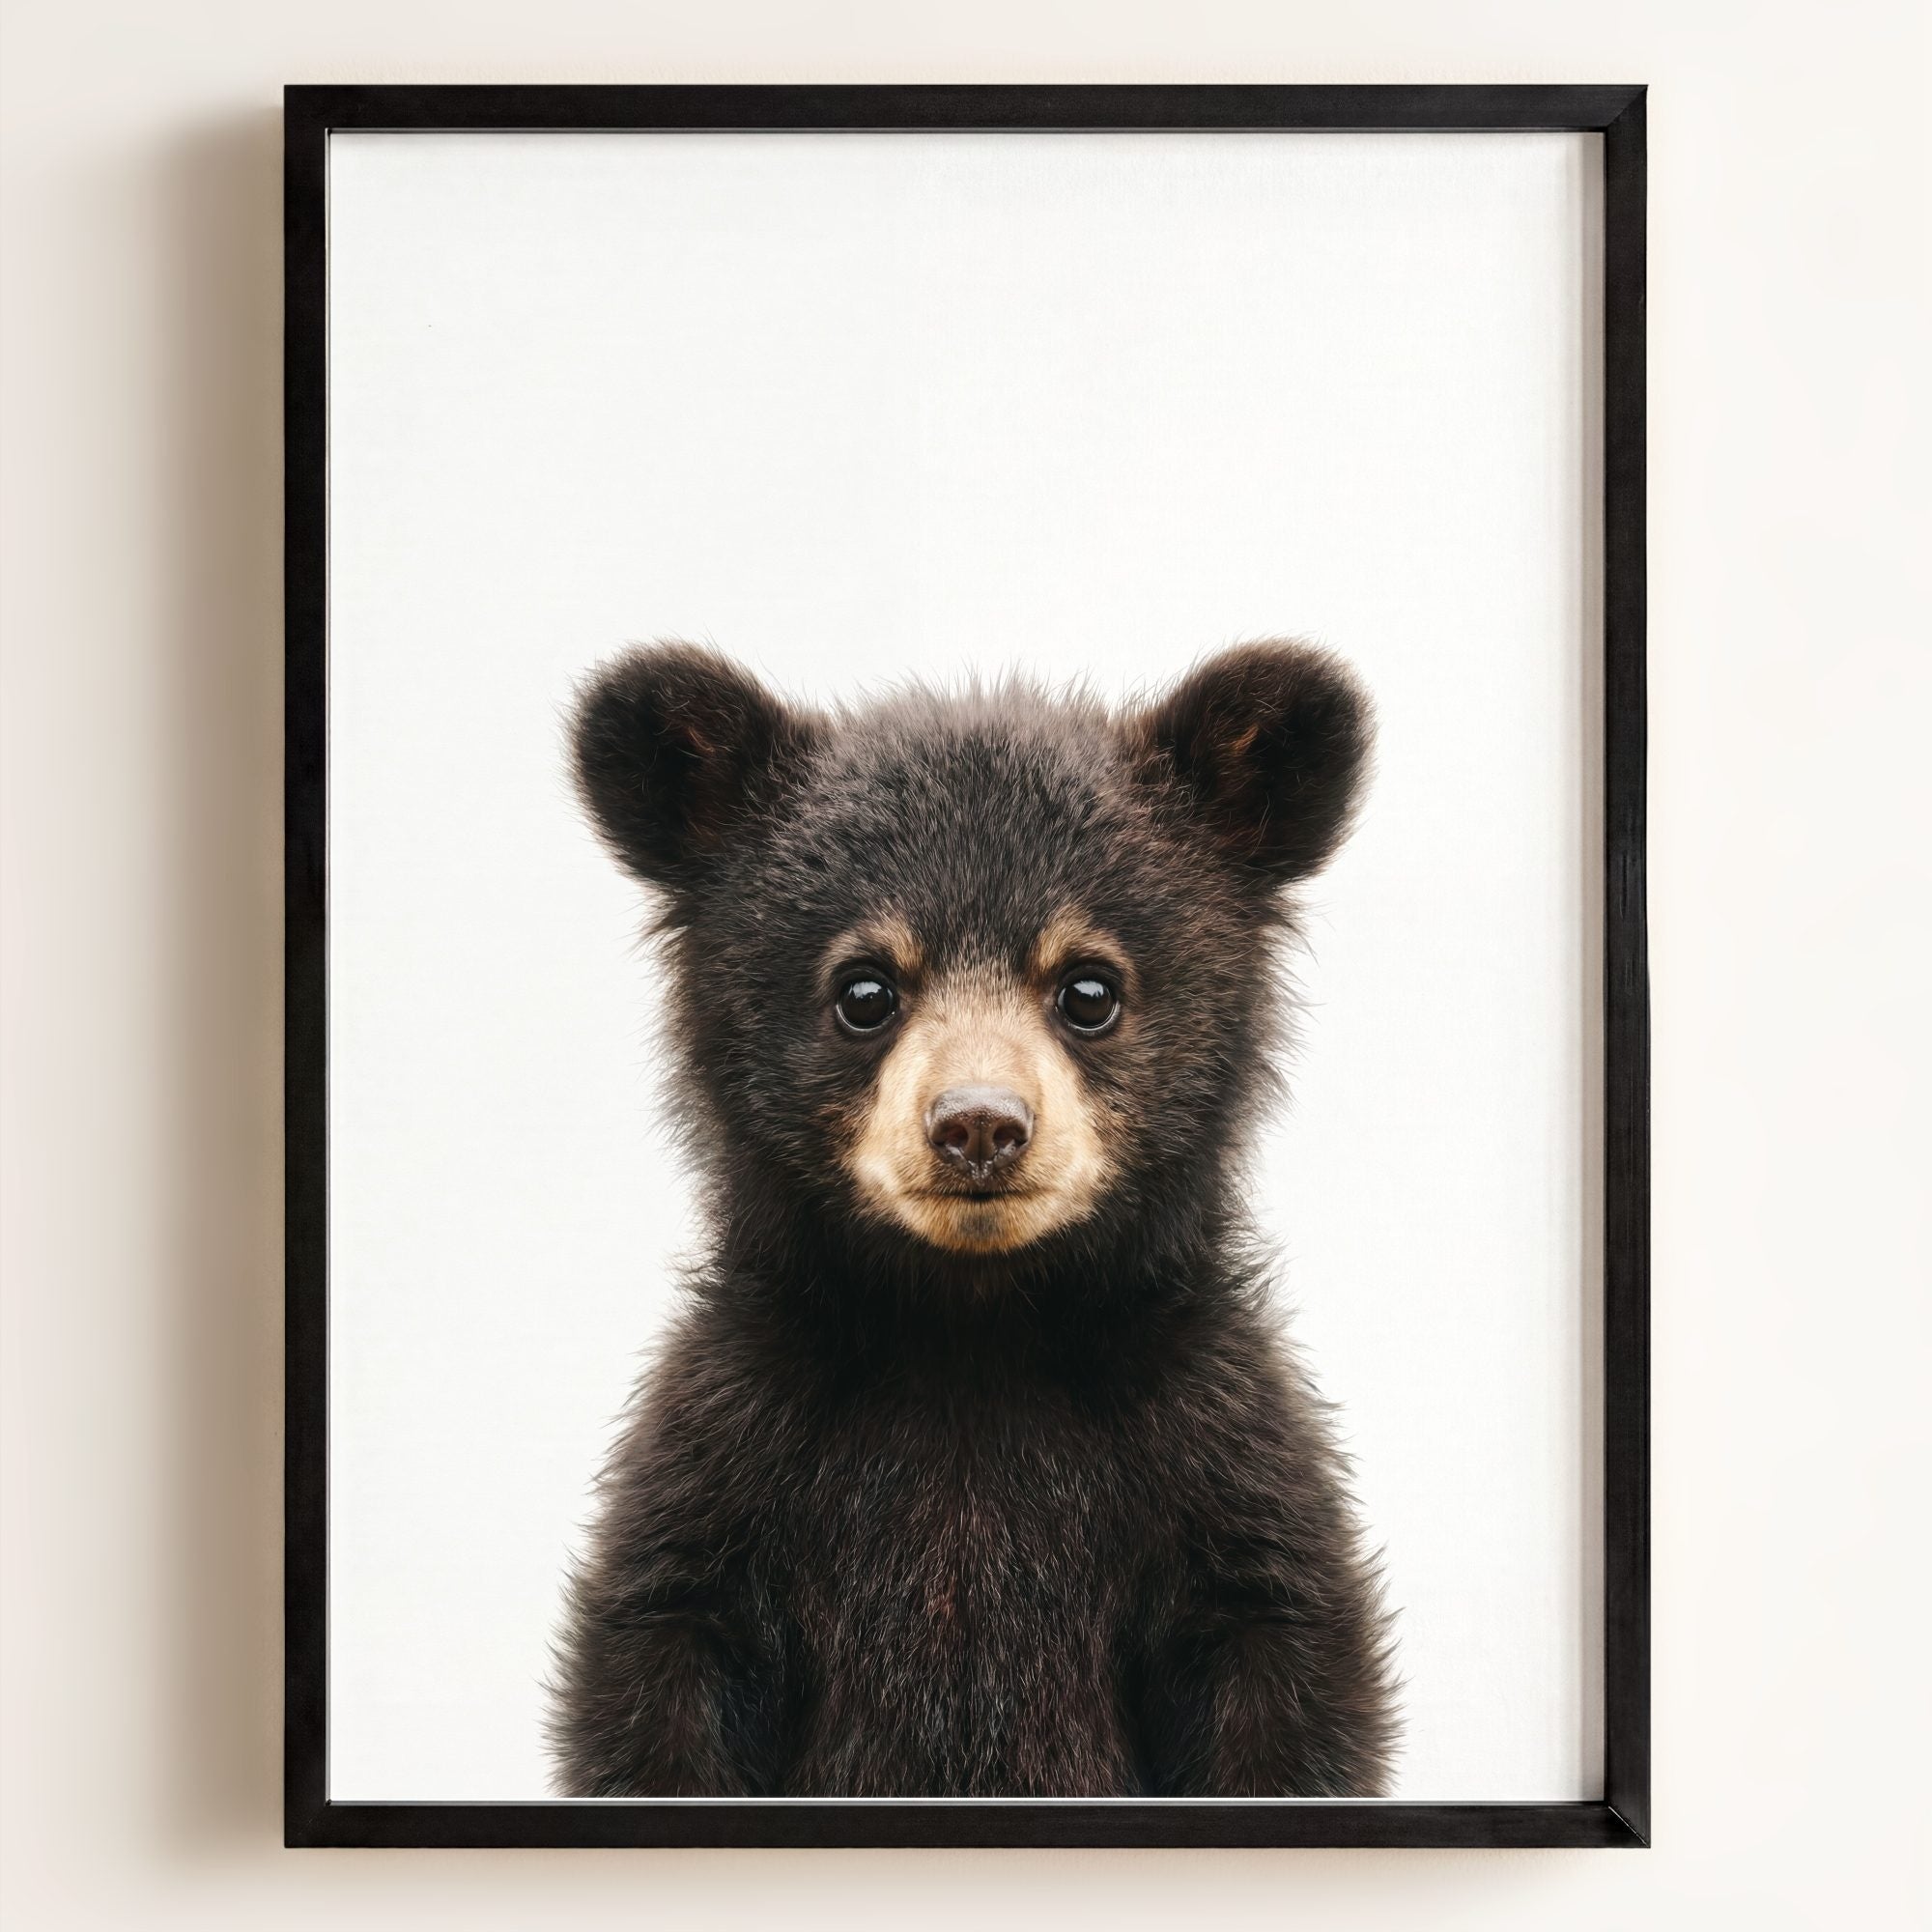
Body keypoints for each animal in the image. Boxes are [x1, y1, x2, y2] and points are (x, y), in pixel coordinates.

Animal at [549, 638, 1397, 1798]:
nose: (980, 1125)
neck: (971, 1330)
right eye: (864, 989)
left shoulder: (1215, 1455)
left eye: (1089, 987)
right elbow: (660, 1666)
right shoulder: (729, 1455)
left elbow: (1281, 1666)